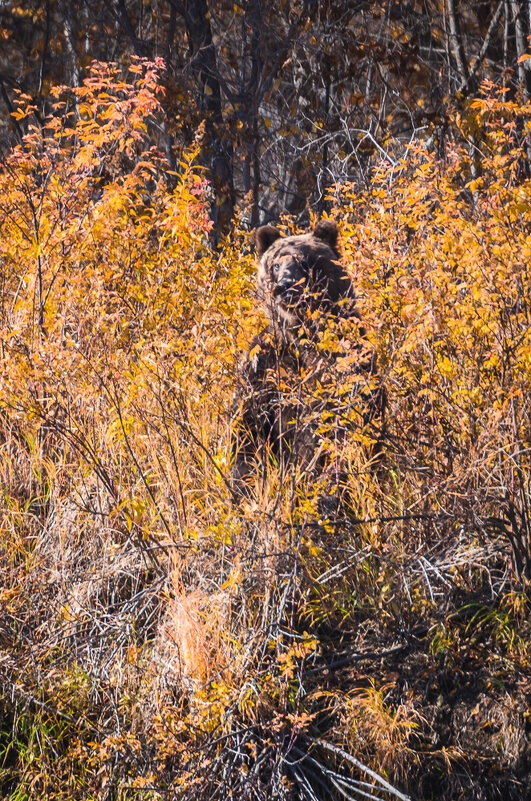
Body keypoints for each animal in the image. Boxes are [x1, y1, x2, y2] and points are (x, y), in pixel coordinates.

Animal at [233, 220, 382, 494]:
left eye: (304, 261)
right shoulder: (263, 366)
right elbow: (246, 428)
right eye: (275, 264)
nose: (284, 286)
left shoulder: (344, 362)